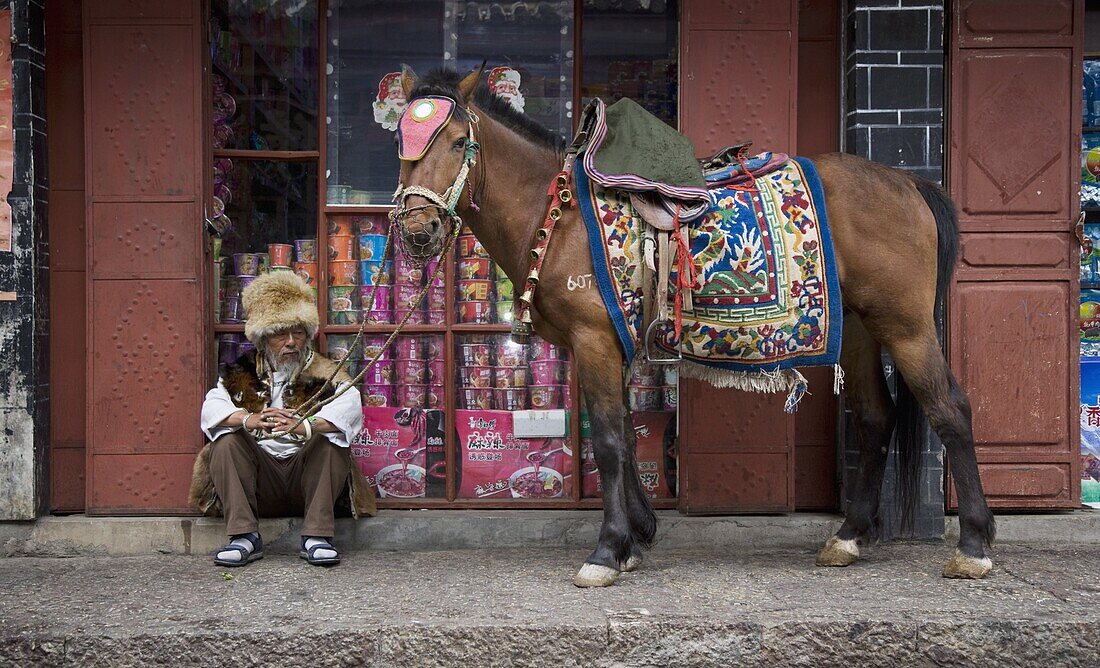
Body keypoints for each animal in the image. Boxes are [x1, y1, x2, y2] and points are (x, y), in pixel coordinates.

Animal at [391, 67, 994, 589]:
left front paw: (607, 550)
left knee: (951, 411)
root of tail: (909, 184)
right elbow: (623, 435)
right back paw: (848, 537)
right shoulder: (603, 345)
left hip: (908, 326)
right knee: (874, 418)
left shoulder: (594, 341)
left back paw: (974, 545)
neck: (558, 215)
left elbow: (607, 441)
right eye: (401, 142)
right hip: (864, 332)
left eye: (454, 142)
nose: (418, 230)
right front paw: (636, 537)